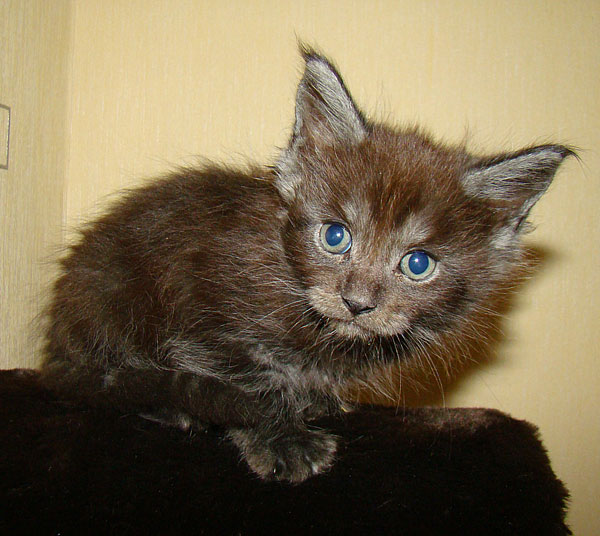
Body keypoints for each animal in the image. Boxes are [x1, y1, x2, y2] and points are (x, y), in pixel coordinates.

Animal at [39, 47, 573, 483]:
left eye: (418, 264)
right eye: (335, 236)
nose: (357, 302)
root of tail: (56, 346)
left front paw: (312, 401)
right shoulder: (205, 314)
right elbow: (250, 384)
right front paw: (281, 438)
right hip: (113, 297)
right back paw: (174, 408)